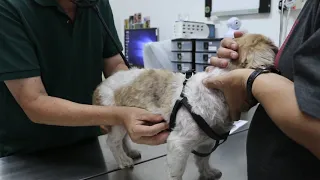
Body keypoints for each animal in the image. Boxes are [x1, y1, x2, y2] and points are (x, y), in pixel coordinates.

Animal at [92, 34, 278, 180]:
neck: (216, 90)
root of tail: (100, 87)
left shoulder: (206, 143)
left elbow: (203, 160)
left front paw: (207, 172)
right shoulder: (178, 145)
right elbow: (177, 172)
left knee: (123, 139)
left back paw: (129, 152)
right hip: (118, 119)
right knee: (113, 142)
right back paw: (123, 159)